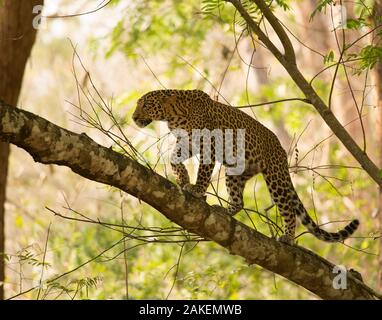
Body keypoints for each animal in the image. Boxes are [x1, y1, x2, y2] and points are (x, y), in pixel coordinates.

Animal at [133, 89, 360, 244]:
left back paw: (288, 237)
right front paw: (182, 178)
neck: (173, 115)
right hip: (235, 171)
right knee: (239, 201)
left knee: (288, 209)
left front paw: (196, 189)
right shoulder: (188, 143)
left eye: (145, 104)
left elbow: (204, 172)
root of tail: (281, 150)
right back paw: (226, 210)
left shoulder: (209, 145)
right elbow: (174, 158)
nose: (134, 118)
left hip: (275, 177)